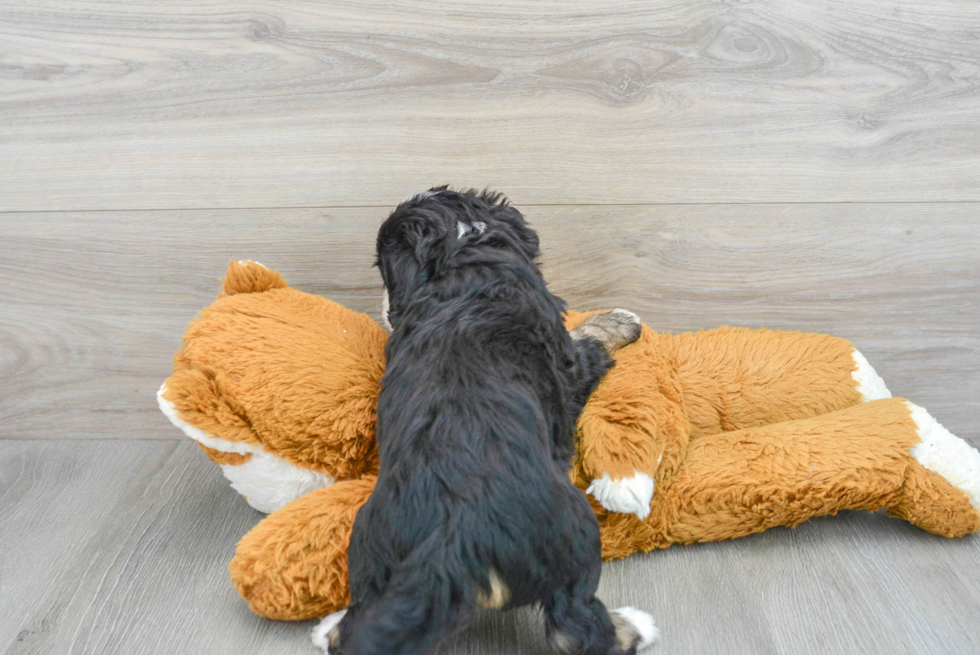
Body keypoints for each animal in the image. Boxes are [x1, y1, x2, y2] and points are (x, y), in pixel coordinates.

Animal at [314, 187, 660, 652]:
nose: (385, 309)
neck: (462, 252)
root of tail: (453, 535)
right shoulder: (568, 367)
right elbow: (587, 341)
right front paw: (621, 321)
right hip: (574, 535)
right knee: (573, 626)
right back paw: (635, 627)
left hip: (370, 544)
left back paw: (328, 629)